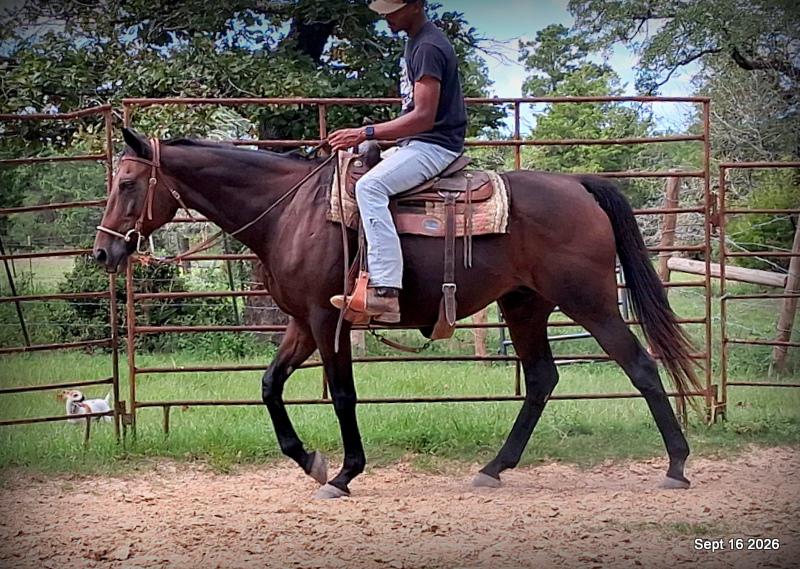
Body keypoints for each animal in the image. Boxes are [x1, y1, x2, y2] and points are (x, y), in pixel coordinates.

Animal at [93, 128, 702, 498]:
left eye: (127, 183)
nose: (102, 252)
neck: (290, 212)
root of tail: (578, 185)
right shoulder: (300, 323)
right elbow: (269, 386)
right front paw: (309, 459)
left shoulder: (327, 321)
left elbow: (342, 394)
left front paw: (343, 473)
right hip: (525, 305)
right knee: (541, 380)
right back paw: (492, 469)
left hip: (591, 303)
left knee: (640, 366)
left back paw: (676, 466)